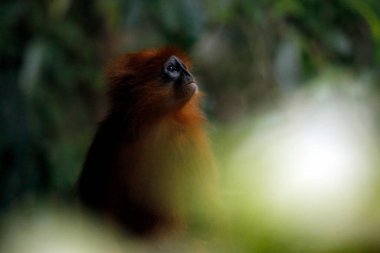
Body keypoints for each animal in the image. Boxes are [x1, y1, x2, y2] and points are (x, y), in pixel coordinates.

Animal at [77, 47, 218, 237]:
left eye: (184, 67)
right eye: (172, 69)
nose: (189, 74)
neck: (156, 124)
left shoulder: (188, 137)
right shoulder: (110, 132)